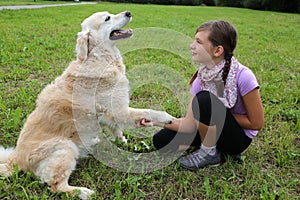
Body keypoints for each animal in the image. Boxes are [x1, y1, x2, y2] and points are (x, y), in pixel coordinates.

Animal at [0, 11, 175, 200]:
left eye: (111, 13)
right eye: (107, 18)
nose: (128, 12)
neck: (100, 58)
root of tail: (16, 160)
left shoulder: (107, 113)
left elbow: (116, 128)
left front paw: (122, 141)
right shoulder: (120, 110)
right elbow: (149, 111)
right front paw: (168, 118)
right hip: (65, 148)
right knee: (57, 186)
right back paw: (83, 192)